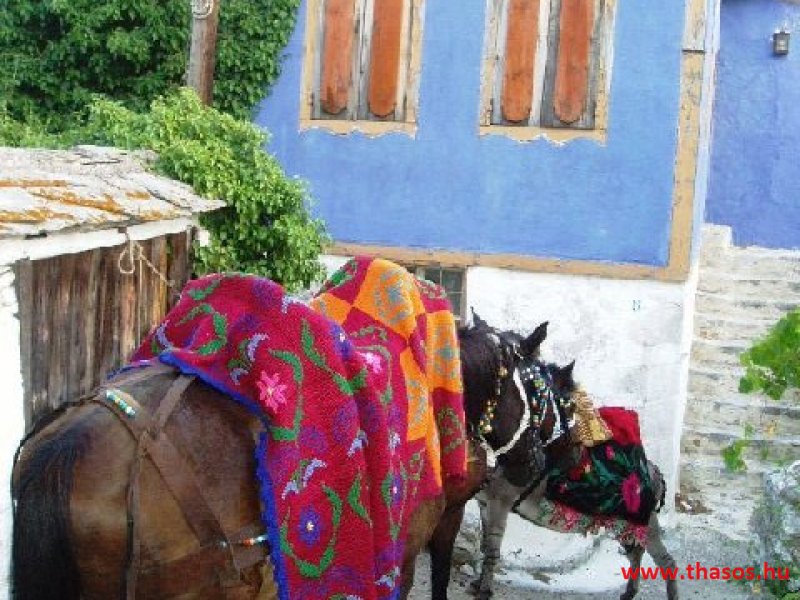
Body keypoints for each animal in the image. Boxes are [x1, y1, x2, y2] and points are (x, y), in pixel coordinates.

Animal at [460, 319, 678, 600]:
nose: (534, 463)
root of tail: (656, 472)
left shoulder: (500, 501)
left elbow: (491, 550)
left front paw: (484, 590)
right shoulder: (485, 502)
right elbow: (486, 542)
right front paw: (478, 584)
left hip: (646, 524)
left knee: (666, 561)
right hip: (627, 527)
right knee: (636, 554)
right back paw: (629, 593)